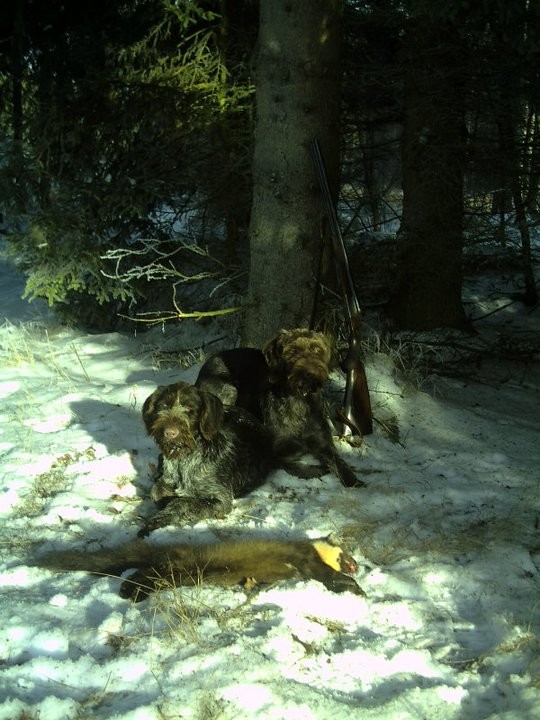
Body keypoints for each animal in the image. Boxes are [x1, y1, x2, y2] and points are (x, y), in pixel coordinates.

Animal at [139, 382, 276, 536]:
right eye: (163, 405)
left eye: (190, 408)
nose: (169, 433)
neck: (184, 459)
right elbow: (156, 490)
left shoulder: (221, 499)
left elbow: (182, 502)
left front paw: (159, 518)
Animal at [194, 328, 362, 486]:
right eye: (293, 351)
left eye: (317, 350)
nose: (310, 372)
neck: (300, 400)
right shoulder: (276, 453)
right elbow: (296, 467)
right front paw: (318, 469)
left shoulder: (323, 443)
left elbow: (339, 462)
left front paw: (354, 481)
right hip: (229, 390)